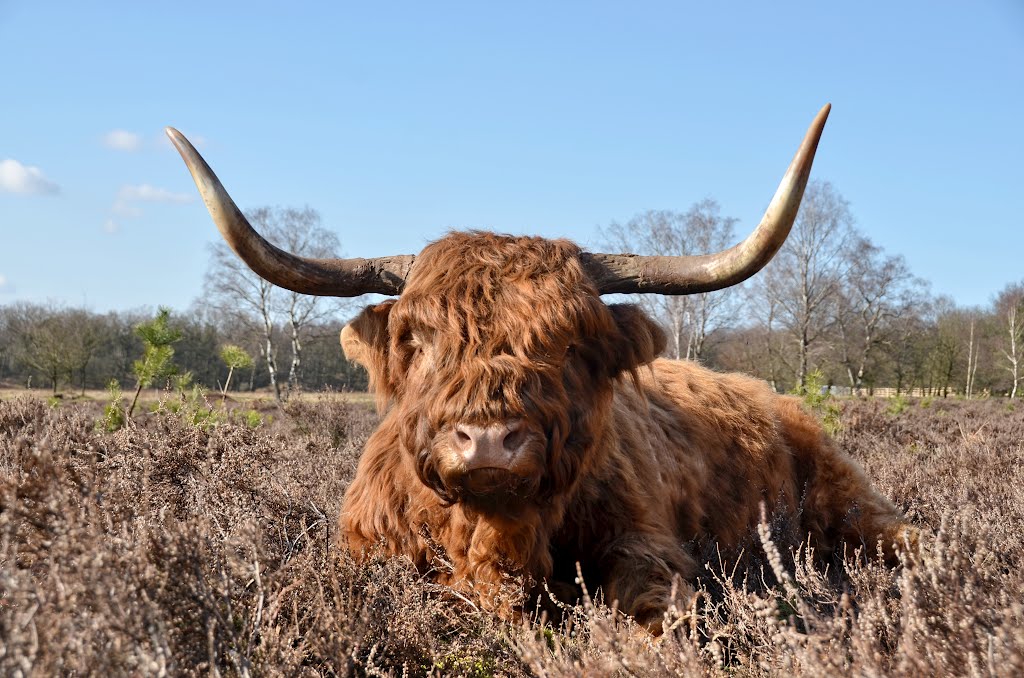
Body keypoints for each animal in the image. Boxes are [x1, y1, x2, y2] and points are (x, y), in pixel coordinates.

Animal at [167, 103, 913, 630]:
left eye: (572, 343)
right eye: (420, 339)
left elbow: (651, 614)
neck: (496, 537)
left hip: (854, 507)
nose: (489, 441)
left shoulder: (649, 546)